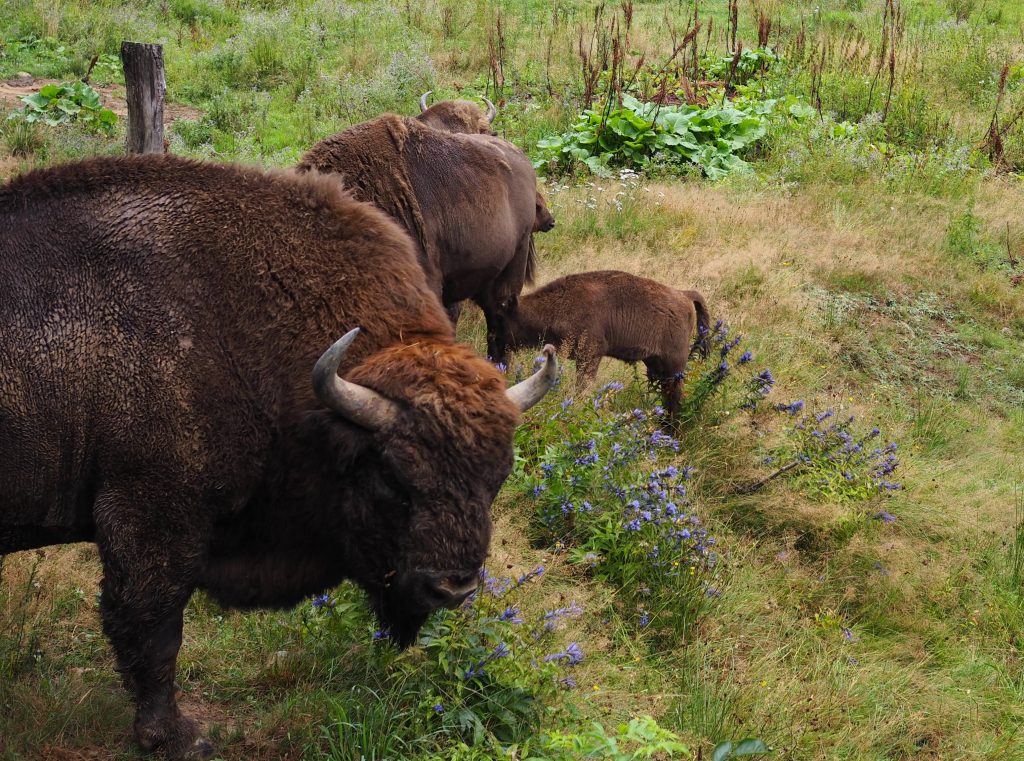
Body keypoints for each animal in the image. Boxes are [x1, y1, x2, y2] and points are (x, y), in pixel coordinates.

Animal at [2, 151, 561, 757]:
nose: (452, 587)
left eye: (497, 478)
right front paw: (175, 736)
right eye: (392, 476)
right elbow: (154, 630)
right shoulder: (151, 518)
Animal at [491, 270, 708, 415]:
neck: (559, 303)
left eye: (501, 317)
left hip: (674, 367)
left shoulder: (590, 355)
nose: (492, 340)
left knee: (675, 398)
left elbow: (583, 387)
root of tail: (684, 295)